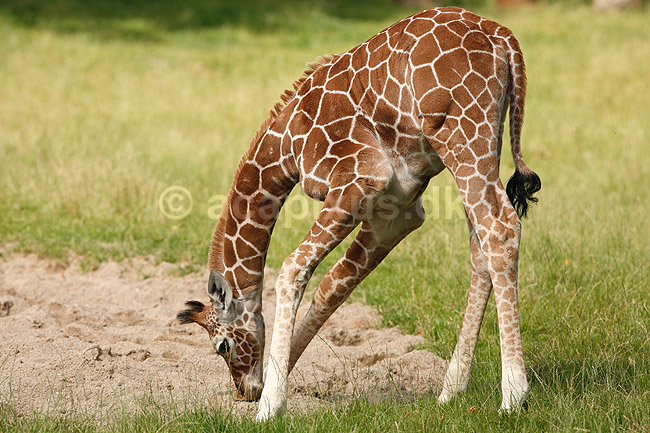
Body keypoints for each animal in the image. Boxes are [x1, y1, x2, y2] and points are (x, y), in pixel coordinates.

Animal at [178, 7, 541, 421]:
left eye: (221, 346)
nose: (243, 391)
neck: (286, 147)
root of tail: (504, 39)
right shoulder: (396, 209)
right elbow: (333, 287)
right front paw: (274, 386)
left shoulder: (359, 180)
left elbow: (293, 270)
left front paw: (270, 405)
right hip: (484, 142)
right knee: (481, 246)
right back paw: (452, 389)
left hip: (462, 134)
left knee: (500, 228)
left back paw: (513, 395)